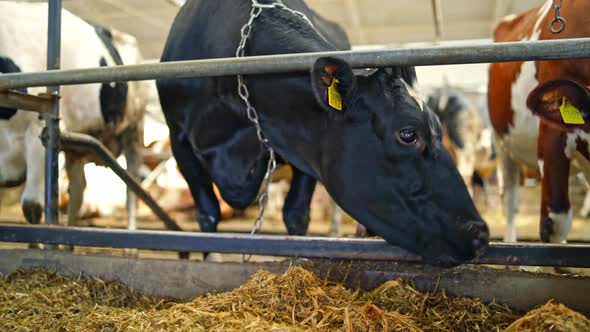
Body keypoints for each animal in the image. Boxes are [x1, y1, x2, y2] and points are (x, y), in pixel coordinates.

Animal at [0, 0, 148, 228]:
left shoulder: (38, 131)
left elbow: (32, 206)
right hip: (76, 143)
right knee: (78, 187)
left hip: (134, 128)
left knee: (131, 183)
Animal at [157, 0, 490, 266]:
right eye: (408, 134)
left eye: (438, 128)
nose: (481, 234)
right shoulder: (178, 140)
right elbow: (207, 212)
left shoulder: (308, 147)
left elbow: (296, 214)